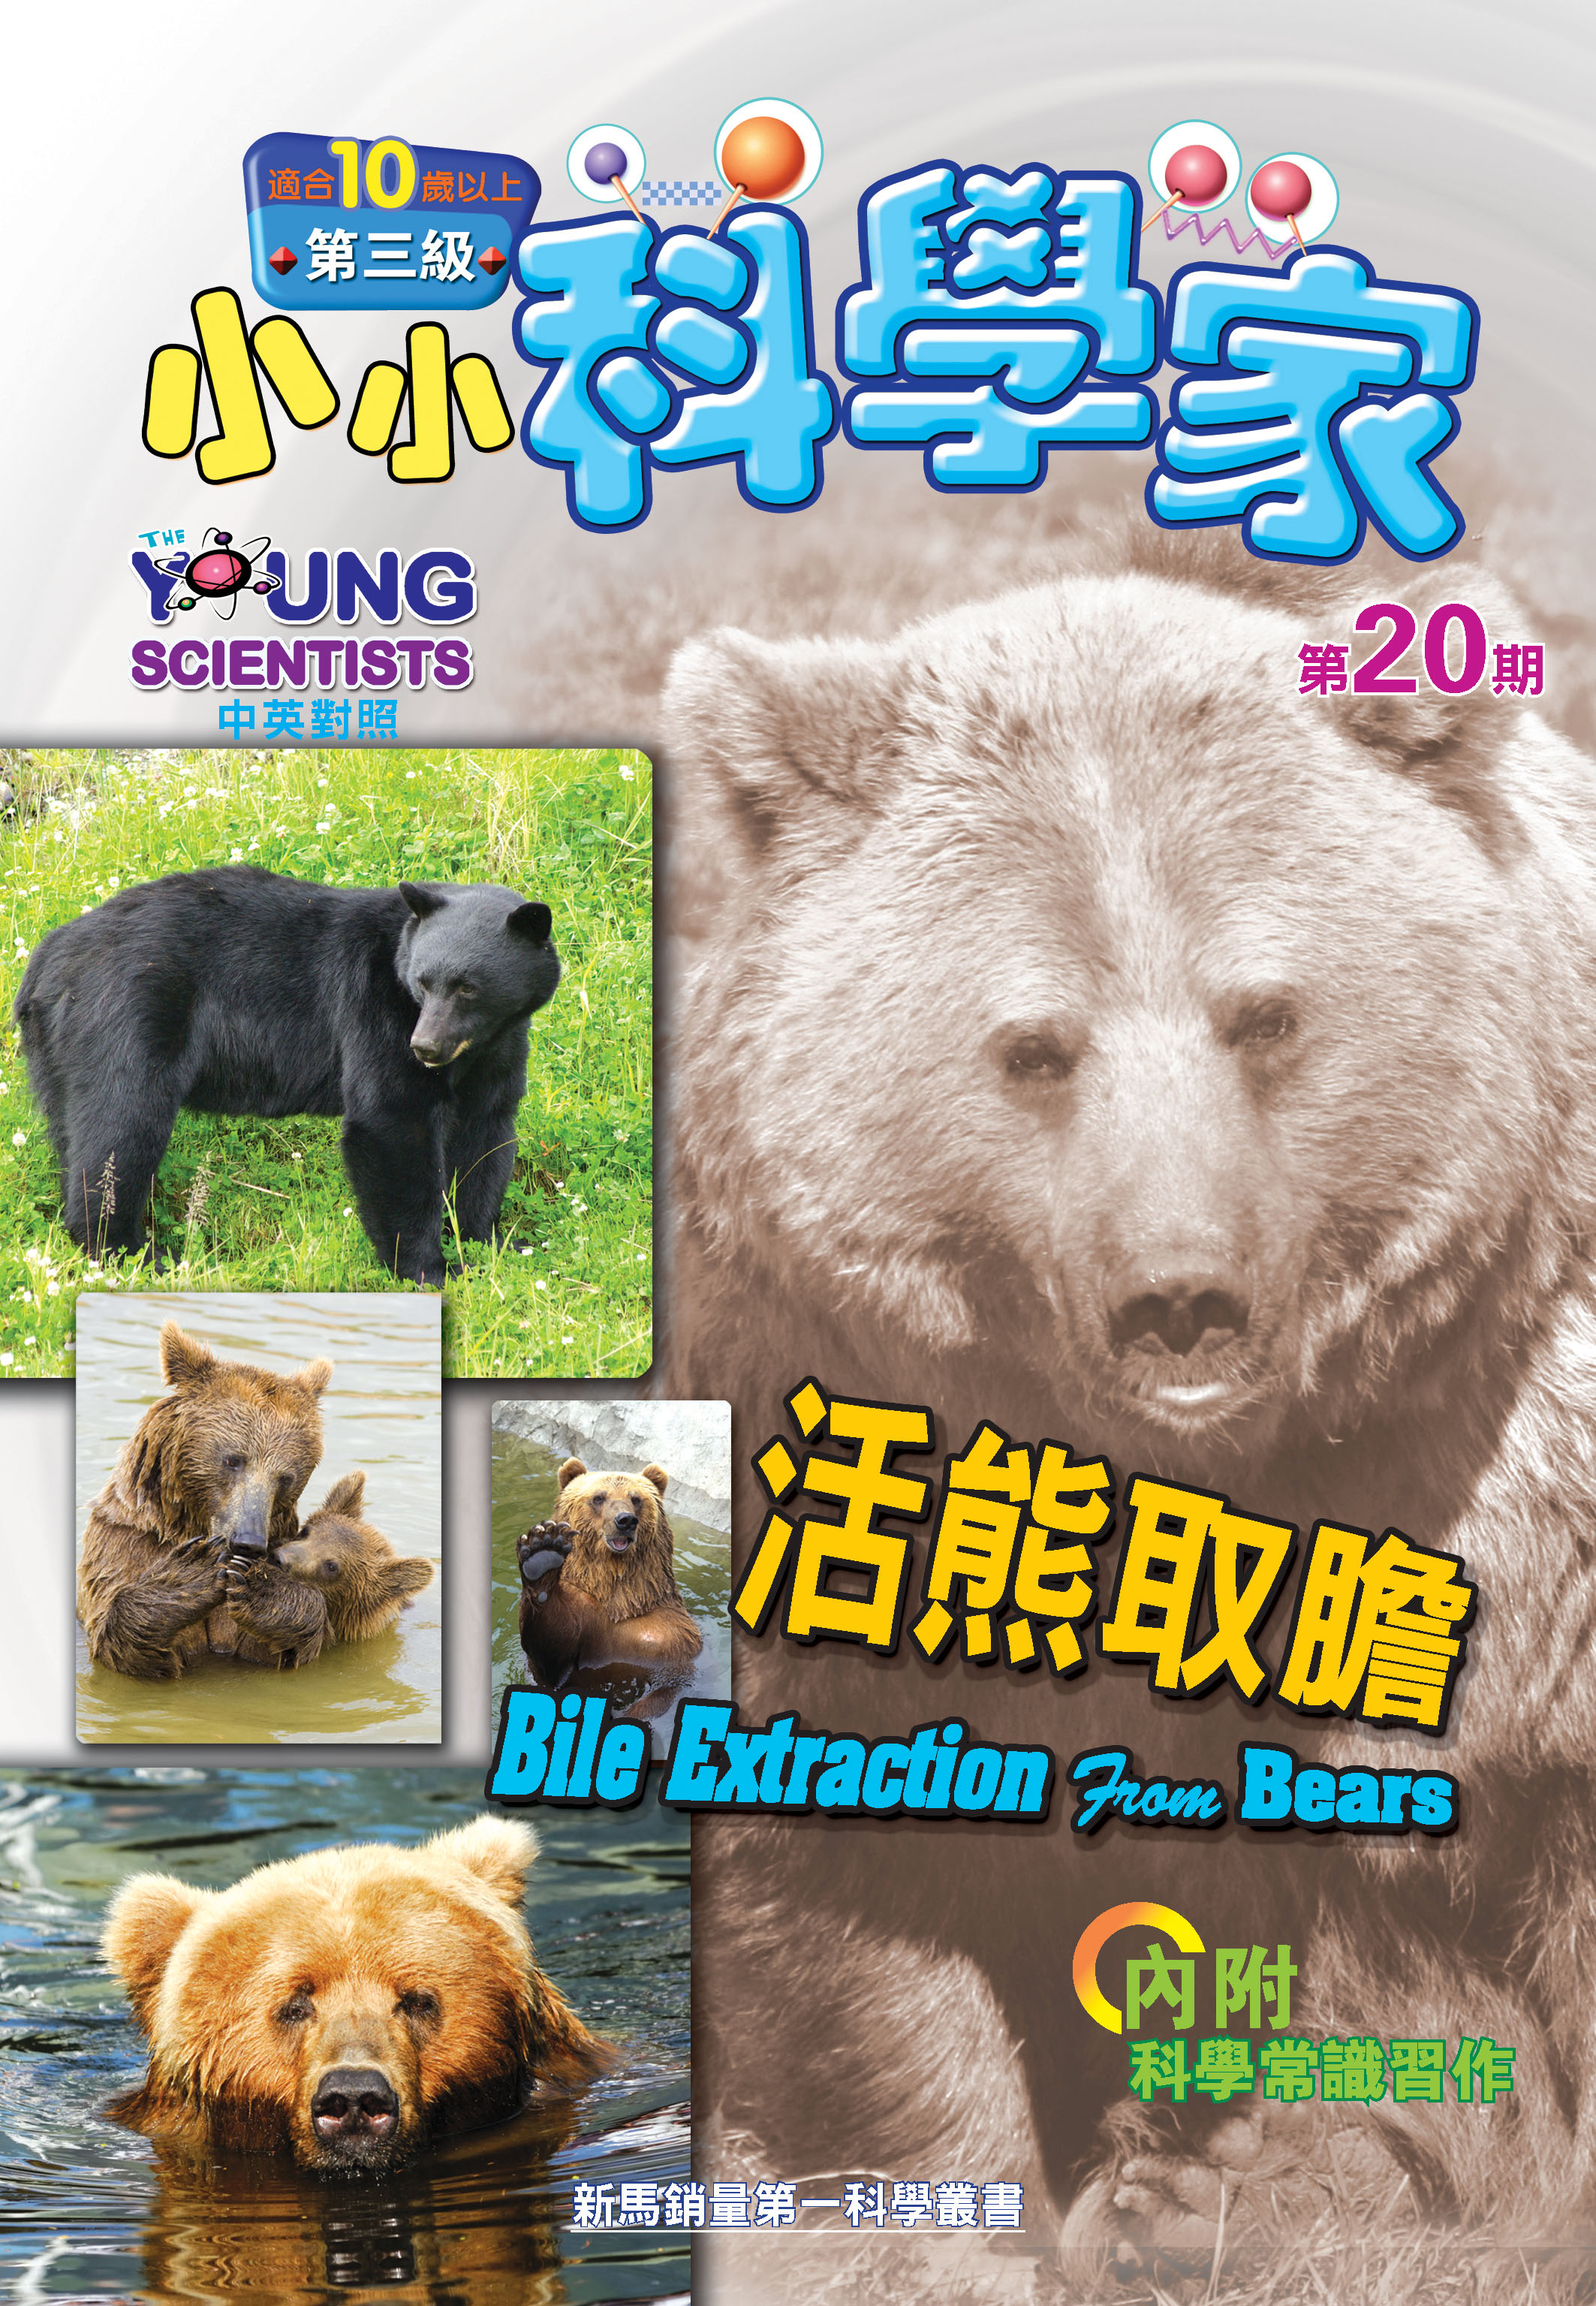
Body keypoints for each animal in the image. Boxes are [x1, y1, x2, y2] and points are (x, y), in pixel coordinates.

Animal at [13, 865, 560, 1286]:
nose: (425, 1047)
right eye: (422, 982)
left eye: (467, 987)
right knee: (120, 1127)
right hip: (125, 1015)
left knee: (76, 1131)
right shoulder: (375, 1007)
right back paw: (138, 1255)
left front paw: (486, 1245)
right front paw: (427, 1269)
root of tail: (44, 958)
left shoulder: (498, 1049)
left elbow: (484, 1136)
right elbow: (391, 1121)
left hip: (57, 1054)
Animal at [78, 1319, 335, 1680]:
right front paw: (193, 1570)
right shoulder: (124, 1545)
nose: (248, 1542)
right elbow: (116, 1638)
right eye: (232, 1460)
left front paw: (262, 1589)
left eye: (286, 1477)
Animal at [516, 1459, 701, 1716]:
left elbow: (670, 1688)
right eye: (598, 1497)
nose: (625, 1520)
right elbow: (551, 1653)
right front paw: (541, 1553)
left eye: (636, 1498)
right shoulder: (579, 1610)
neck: (617, 1601)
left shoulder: (667, 1638)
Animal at [659, 530, 1596, 2272]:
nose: (1180, 1293)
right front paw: (961, 2213)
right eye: (1035, 1044)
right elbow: (852, 1895)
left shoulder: (1506, 1476)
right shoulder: (835, 1455)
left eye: (1265, 1011)